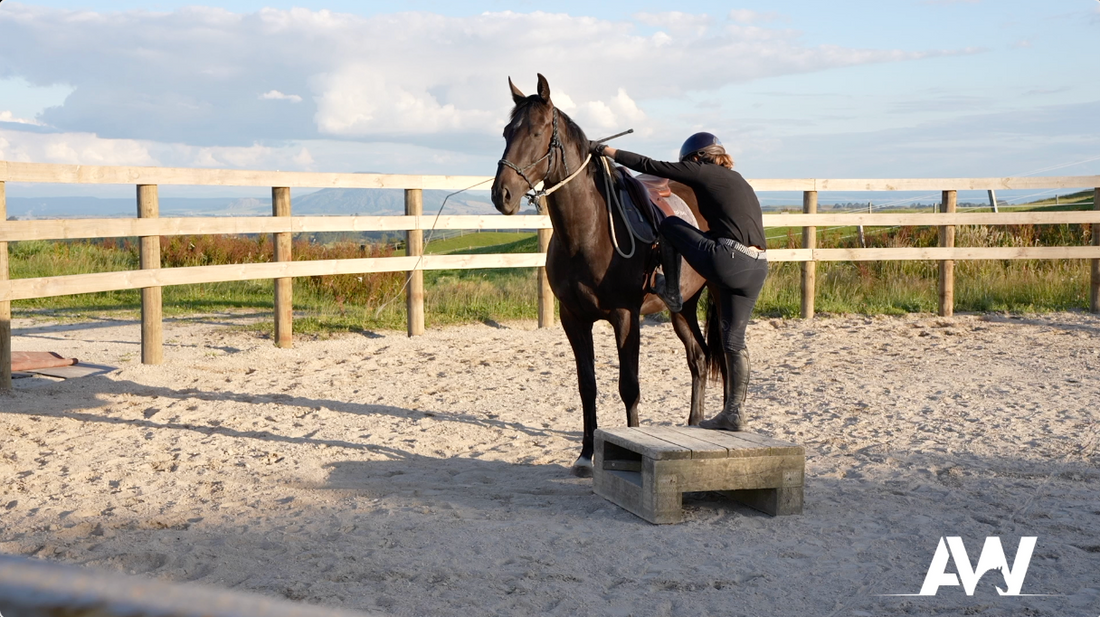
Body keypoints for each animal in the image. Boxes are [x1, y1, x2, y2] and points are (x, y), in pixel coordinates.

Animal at [490, 73, 721, 477]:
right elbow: (588, 386)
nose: (501, 194)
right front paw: (585, 455)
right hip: (683, 306)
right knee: (698, 357)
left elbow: (629, 386)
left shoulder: (625, 316)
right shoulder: (574, 318)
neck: (588, 231)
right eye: (506, 132)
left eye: (536, 132)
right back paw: (693, 424)